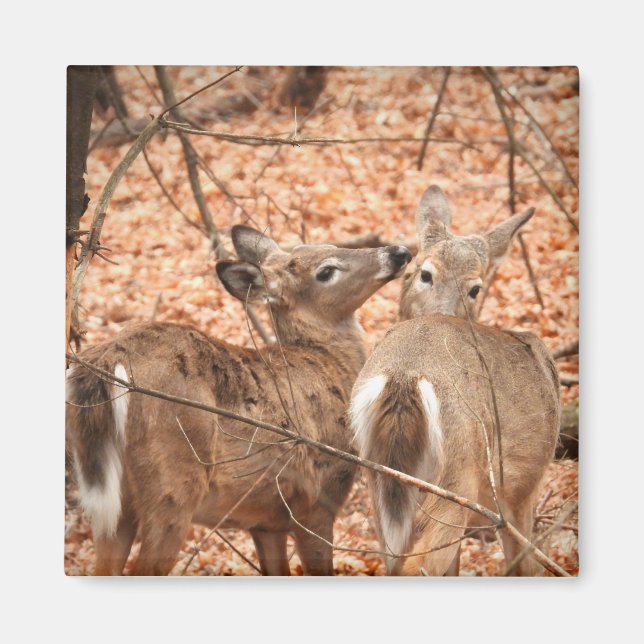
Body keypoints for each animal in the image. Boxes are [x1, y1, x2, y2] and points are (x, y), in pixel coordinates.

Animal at [66, 225, 411, 575]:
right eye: (326, 271)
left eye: (330, 243)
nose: (398, 252)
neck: (329, 364)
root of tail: (108, 361)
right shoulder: (317, 501)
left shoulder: (266, 523)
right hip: (172, 484)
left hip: (114, 502)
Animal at [349, 186, 561, 576]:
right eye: (426, 274)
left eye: (475, 288)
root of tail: (404, 376)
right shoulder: (525, 488)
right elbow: (524, 564)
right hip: (459, 470)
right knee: (421, 564)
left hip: (378, 476)